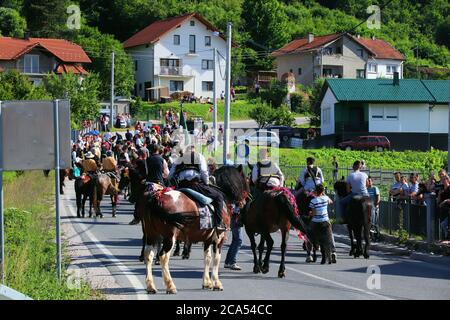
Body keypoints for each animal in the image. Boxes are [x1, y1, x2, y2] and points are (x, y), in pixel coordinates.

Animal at [139, 166, 248, 294]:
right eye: (245, 182)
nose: (244, 202)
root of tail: (157, 197)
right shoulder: (219, 238)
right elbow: (216, 259)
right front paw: (216, 283)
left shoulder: (207, 238)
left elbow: (207, 258)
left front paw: (207, 283)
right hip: (169, 237)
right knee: (163, 257)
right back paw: (170, 286)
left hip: (151, 235)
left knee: (148, 256)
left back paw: (151, 286)